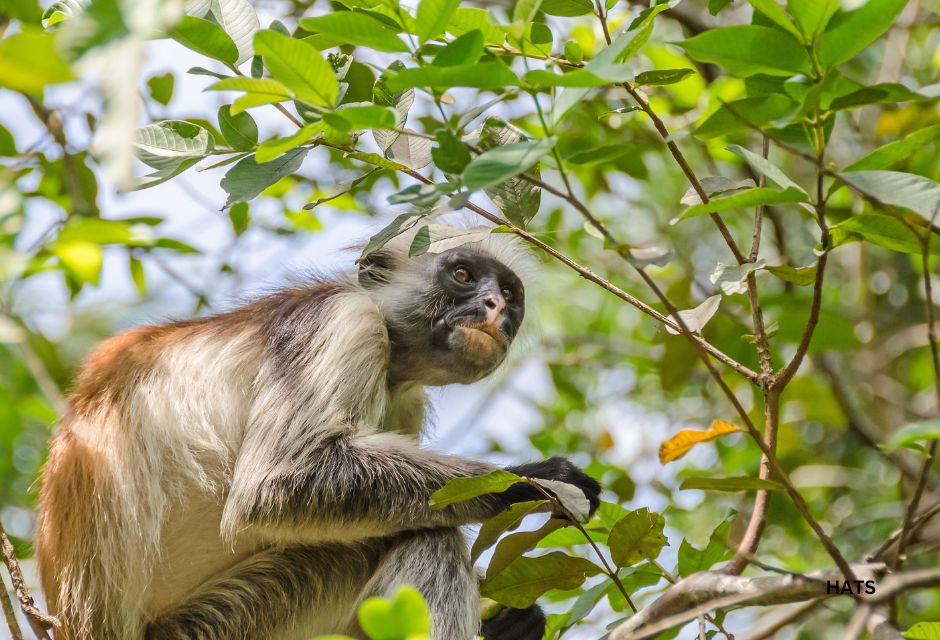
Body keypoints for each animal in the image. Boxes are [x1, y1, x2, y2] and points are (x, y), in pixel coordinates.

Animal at [36, 234, 600, 640]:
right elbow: (276, 484)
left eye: (509, 295)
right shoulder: (342, 320)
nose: (494, 307)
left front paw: (511, 619)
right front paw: (535, 481)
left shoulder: (405, 399)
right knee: (426, 538)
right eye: (462, 274)